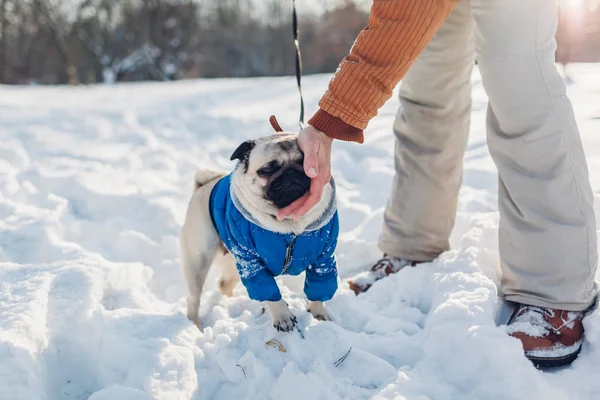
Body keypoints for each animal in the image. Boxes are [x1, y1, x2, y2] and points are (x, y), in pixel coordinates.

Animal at [179, 121, 338, 332]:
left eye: (304, 163)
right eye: (267, 170)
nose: (291, 172)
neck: (289, 226)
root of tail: (203, 185)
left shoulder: (323, 260)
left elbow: (319, 289)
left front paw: (319, 316)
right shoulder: (251, 263)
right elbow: (269, 292)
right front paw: (282, 316)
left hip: (233, 263)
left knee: (224, 284)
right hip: (199, 261)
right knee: (194, 298)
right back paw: (194, 325)